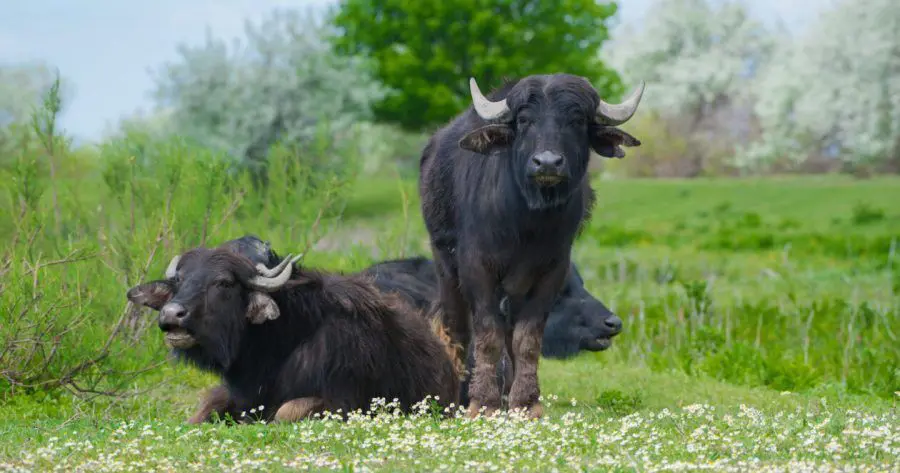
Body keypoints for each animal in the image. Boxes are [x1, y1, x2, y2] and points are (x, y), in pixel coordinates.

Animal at [124, 240, 460, 424]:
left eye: (224, 282)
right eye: (178, 280)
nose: (172, 314)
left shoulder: (343, 402)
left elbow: (287, 411)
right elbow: (201, 412)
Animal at [418, 71, 644, 416]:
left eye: (577, 120)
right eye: (524, 120)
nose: (547, 163)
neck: (527, 223)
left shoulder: (551, 272)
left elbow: (527, 339)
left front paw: (526, 403)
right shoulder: (477, 268)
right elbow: (487, 336)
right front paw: (482, 403)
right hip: (445, 265)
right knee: (456, 326)